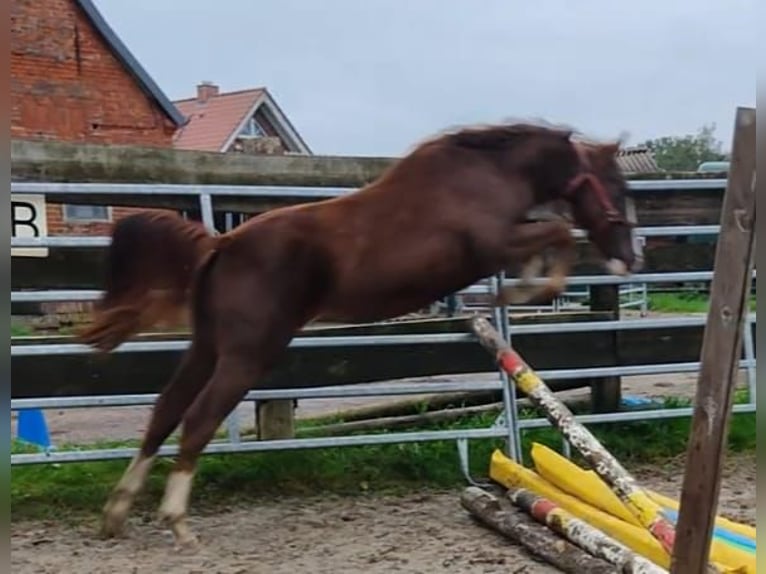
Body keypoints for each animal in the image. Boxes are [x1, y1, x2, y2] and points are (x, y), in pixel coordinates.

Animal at [79, 121, 640, 548]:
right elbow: (558, 234)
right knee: (197, 420)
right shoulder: (494, 244)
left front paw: (529, 285)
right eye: (617, 188)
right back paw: (176, 521)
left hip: (207, 347)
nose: (628, 259)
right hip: (247, 354)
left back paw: (117, 512)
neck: (488, 176)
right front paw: (528, 289)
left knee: (165, 411)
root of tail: (223, 244)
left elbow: (553, 236)